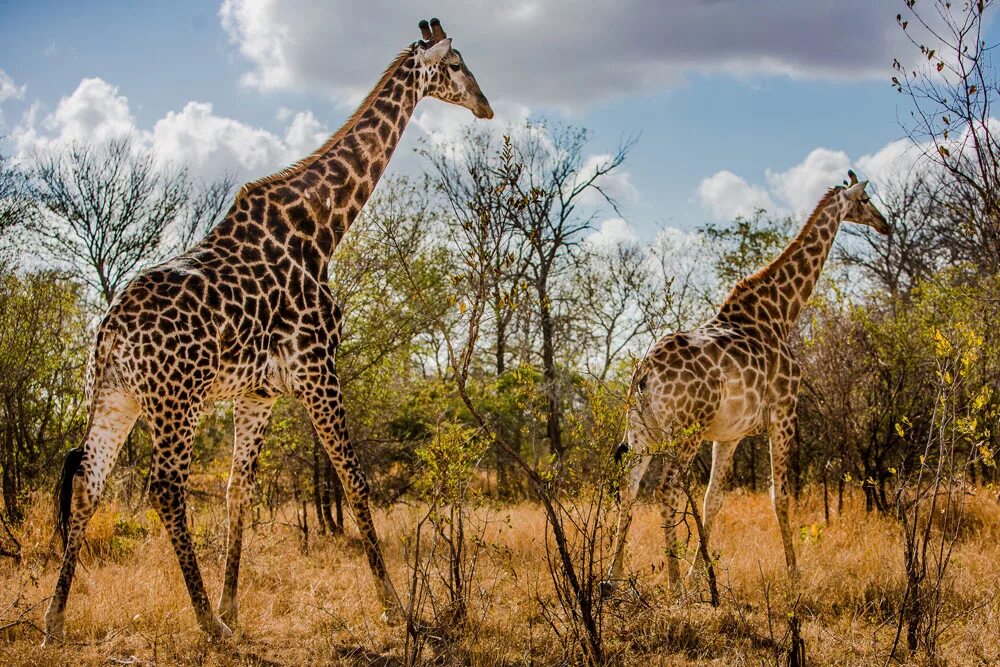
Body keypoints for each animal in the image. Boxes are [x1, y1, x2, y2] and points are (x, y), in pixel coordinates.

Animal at [43, 18, 492, 644]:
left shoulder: (258, 393)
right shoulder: (317, 369)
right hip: (176, 401)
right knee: (165, 488)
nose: (486, 106)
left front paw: (234, 606)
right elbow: (354, 480)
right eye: (455, 65)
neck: (320, 231)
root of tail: (110, 328)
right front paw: (394, 605)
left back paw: (56, 618)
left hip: (114, 396)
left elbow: (239, 491)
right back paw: (205, 622)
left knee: (89, 483)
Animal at [604, 174, 888, 596]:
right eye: (866, 199)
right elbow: (780, 495)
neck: (779, 312)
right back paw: (674, 585)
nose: (886, 224)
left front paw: (703, 573)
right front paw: (793, 573)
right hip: (685, 431)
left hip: (642, 432)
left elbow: (713, 499)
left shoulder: (730, 434)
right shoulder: (784, 414)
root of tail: (645, 373)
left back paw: (613, 576)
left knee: (630, 487)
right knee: (665, 489)